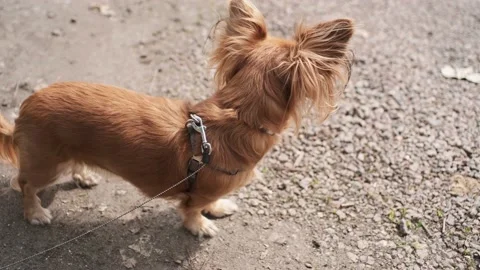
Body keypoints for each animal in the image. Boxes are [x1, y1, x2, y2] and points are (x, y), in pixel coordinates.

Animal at [0, 0, 352, 236]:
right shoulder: (199, 191)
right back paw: (35, 212)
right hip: (46, 165)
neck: (238, 115)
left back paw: (83, 174)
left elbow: (211, 202)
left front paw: (217, 209)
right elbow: (192, 208)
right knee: (26, 183)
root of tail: (24, 109)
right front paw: (200, 224)